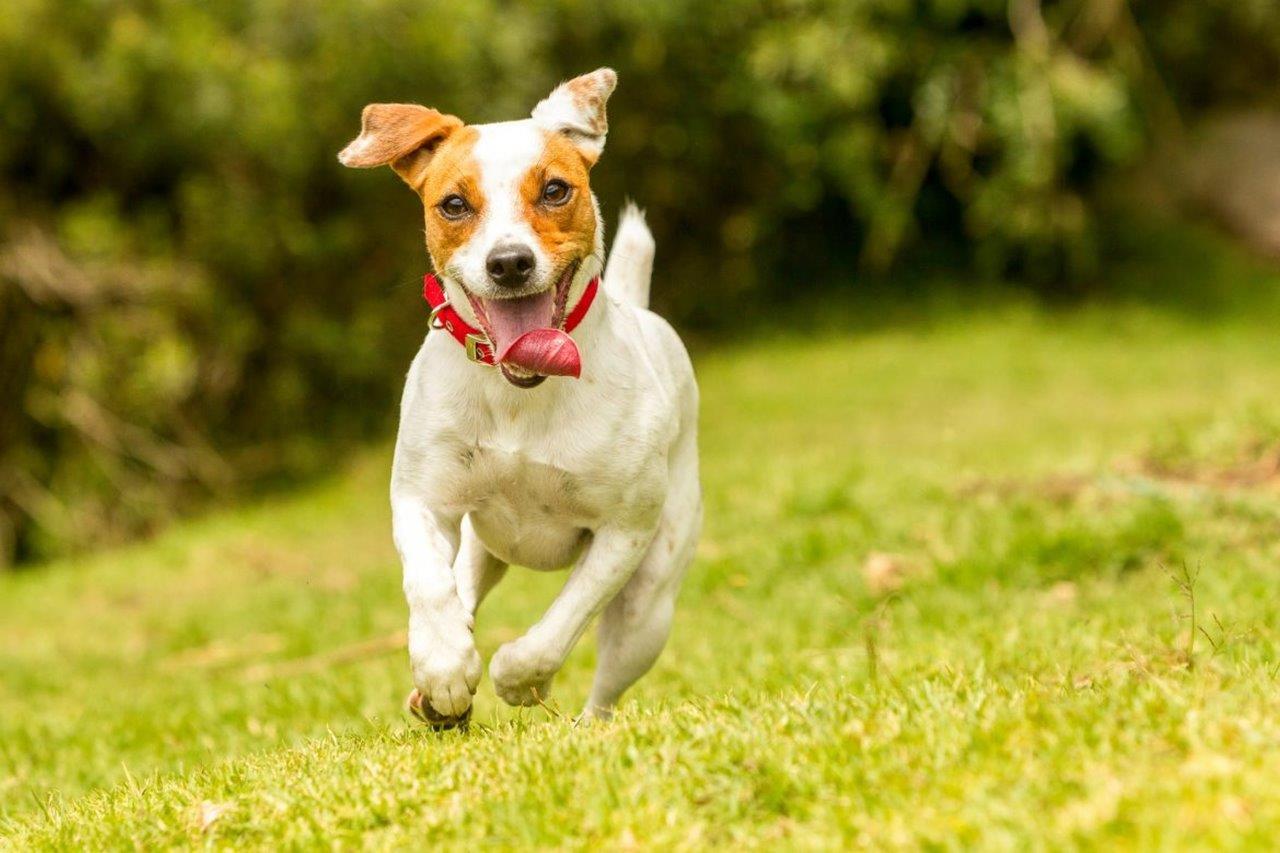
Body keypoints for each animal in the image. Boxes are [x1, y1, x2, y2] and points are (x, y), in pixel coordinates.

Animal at [337, 66, 701, 722]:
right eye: (453, 204)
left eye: (556, 190)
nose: (508, 262)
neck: (521, 397)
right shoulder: (422, 498)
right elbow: (428, 583)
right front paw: (443, 665)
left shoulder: (624, 533)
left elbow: (559, 625)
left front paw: (518, 677)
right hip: (483, 545)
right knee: (462, 583)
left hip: (649, 607)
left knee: (606, 687)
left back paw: (584, 724)